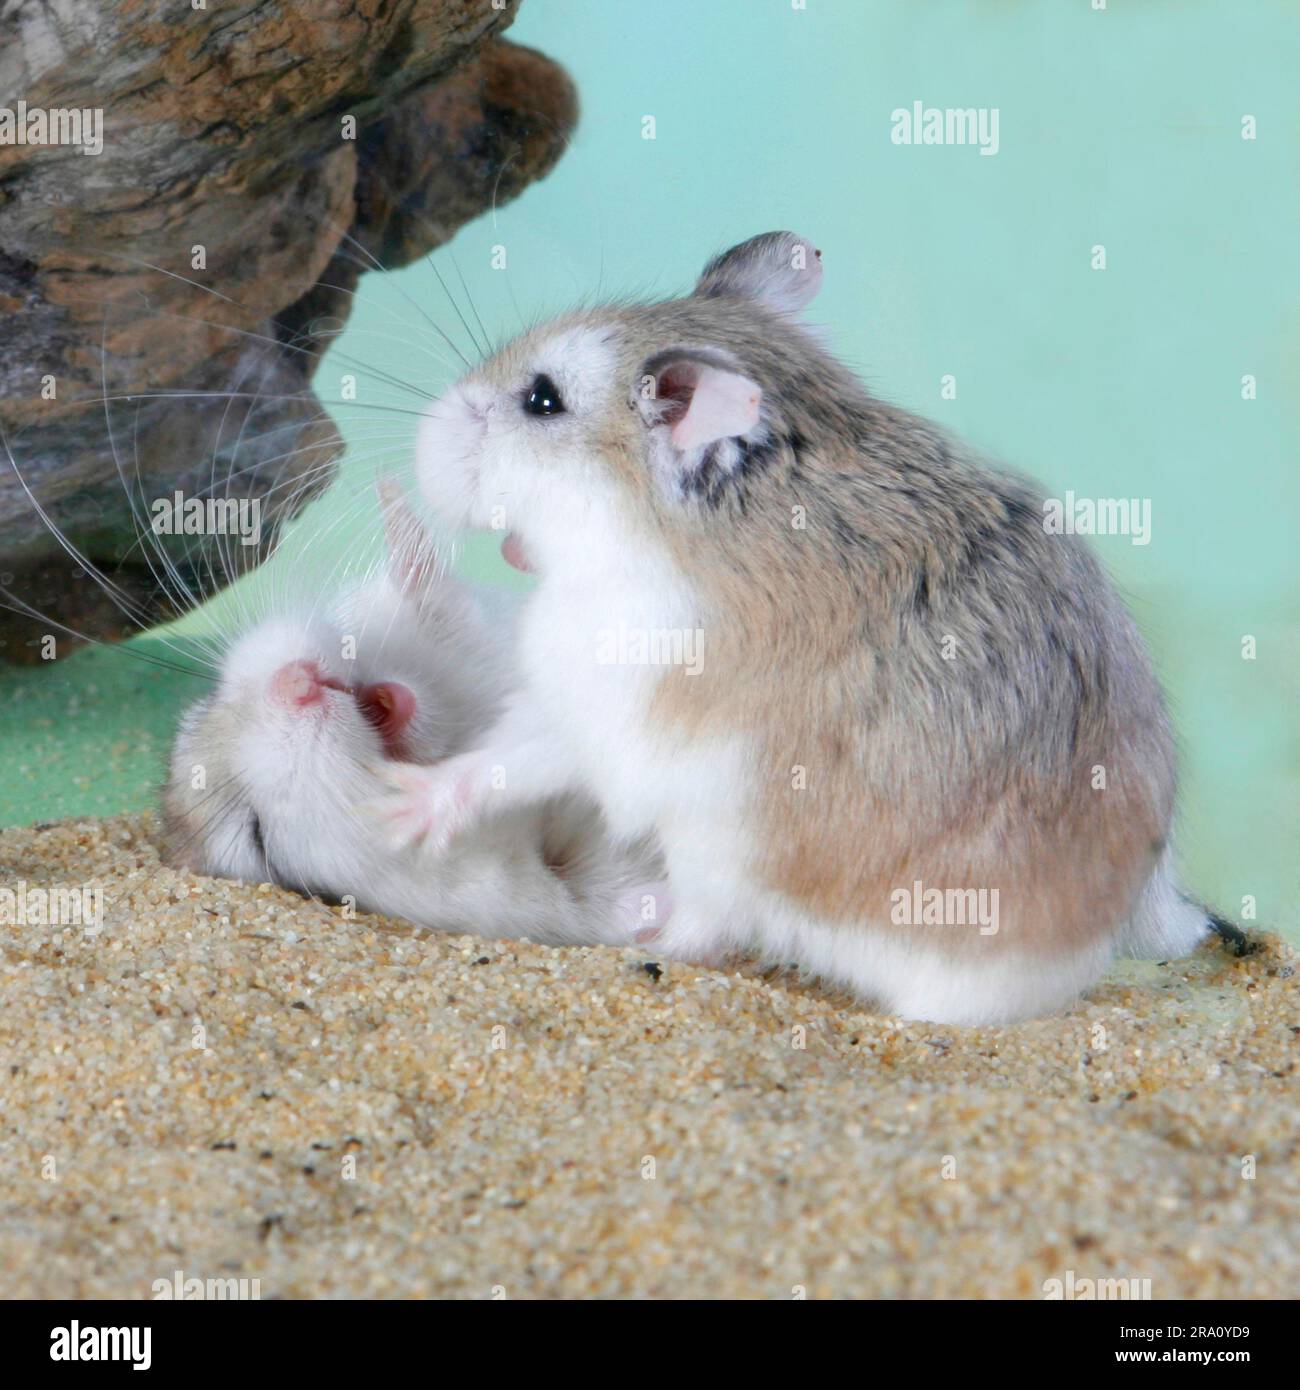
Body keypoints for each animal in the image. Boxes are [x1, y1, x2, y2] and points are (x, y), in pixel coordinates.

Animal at [388, 229, 1218, 1025]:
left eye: (542, 399)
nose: (421, 436)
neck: (649, 521)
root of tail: (1122, 926)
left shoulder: (596, 704)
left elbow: (514, 760)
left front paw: (396, 809)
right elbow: (486, 758)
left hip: (721, 846)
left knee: (704, 929)